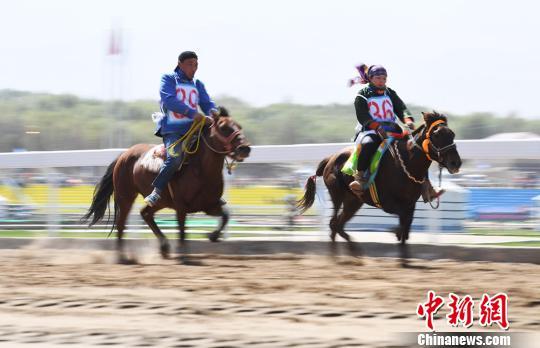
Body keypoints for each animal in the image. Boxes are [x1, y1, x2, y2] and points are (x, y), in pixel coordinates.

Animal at [83, 107, 251, 262]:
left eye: (239, 126)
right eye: (224, 127)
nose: (245, 148)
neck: (199, 168)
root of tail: (123, 155)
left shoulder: (209, 205)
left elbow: (226, 216)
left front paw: (213, 235)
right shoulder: (181, 206)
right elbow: (182, 230)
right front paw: (184, 255)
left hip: (160, 201)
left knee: (145, 213)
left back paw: (164, 247)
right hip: (126, 196)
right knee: (121, 223)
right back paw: (122, 257)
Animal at [298, 111, 462, 245]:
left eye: (452, 134)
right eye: (437, 134)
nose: (456, 163)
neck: (405, 163)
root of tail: (330, 159)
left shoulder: (410, 205)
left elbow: (406, 231)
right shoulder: (388, 203)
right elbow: (402, 226)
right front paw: (395, 231)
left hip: (353, 201)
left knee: (339, 224)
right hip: (337, 195)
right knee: (333, 223)